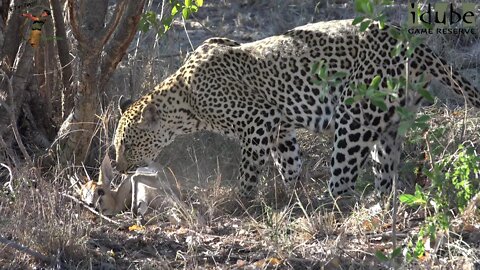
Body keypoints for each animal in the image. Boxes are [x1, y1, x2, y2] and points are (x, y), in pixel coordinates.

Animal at [113, 19, 480, 198]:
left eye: (127, 145)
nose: (117, 168)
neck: (184, 99)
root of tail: (414, 44)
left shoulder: (258, 120)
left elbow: (249, 169)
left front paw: (241, 202)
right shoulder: (279, 128)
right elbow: (289, 163)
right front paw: (291, 195)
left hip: (355, 116)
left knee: (343, 179)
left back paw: (329, 208)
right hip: (389, 126)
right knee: (385, 172)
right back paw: (379, 208)